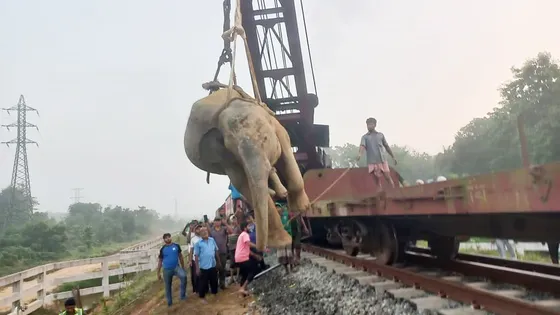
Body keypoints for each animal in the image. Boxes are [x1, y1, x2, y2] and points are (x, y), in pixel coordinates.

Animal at [184, 84, 310, 252]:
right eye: (233, 148)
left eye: (264, 138)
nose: (258, 247)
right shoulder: (222, 154)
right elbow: (241, 181)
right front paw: (281, 243)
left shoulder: (275, 124)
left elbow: (285, 145)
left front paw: (302, 208)